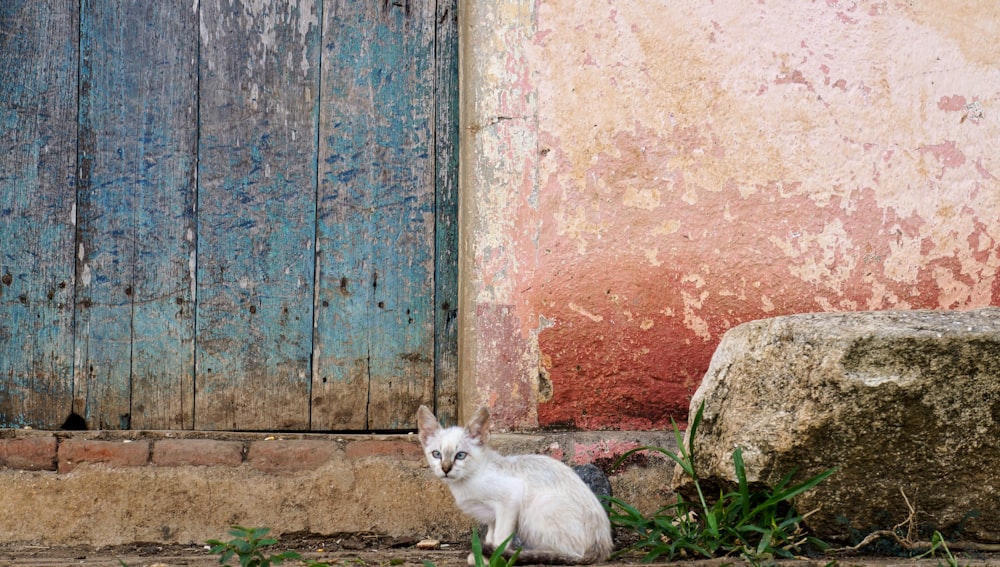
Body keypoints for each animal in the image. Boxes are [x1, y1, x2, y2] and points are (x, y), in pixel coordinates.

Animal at [414, 406, 608, 564]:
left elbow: (500, 537)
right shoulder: (492, 516)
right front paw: (483, 557)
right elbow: (491, 537)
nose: (446, 469)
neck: (466, 481)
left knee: (572, 554)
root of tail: (602, 545)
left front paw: (494, 559)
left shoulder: (509, 499)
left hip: (540, 506)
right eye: (436, 454)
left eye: (460, 455)